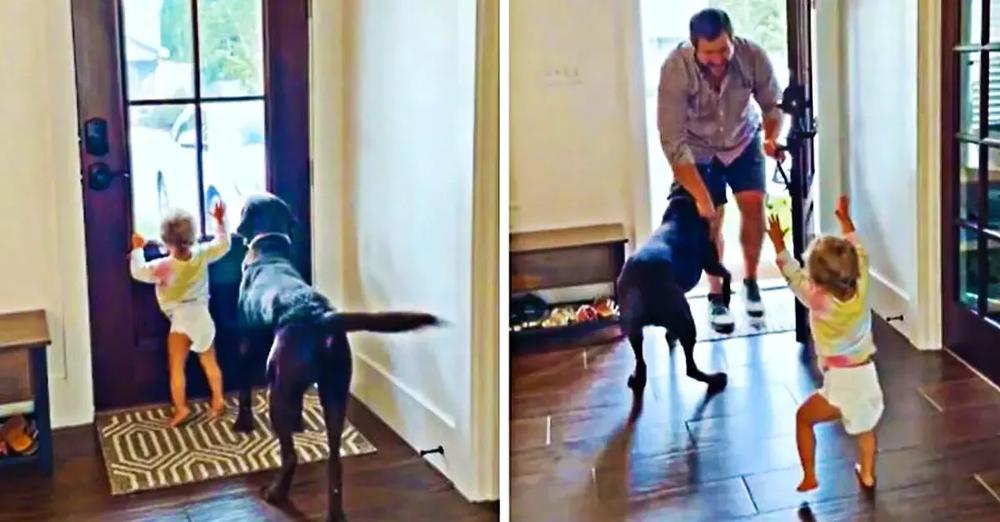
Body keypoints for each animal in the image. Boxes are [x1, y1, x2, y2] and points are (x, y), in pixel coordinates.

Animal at [234, 192, 442, 520]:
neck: (270, 249)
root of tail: (320, 316)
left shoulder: (244, 341)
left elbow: (243, 389)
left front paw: (242, 423)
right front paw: (298, 424)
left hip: (278, 388)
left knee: (291, 455)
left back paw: (276, 493)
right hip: (334, 393)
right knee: (335, 463)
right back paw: (334, 512)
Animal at [612, 190, 732, 390]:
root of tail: (641, 283)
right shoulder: (711, 263)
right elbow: (728, 274)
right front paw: (727, 294)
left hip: (634, 328)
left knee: (640, 357)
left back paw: (639, 376)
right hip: (686, 320)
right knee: (691, 368)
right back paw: (715, 379)